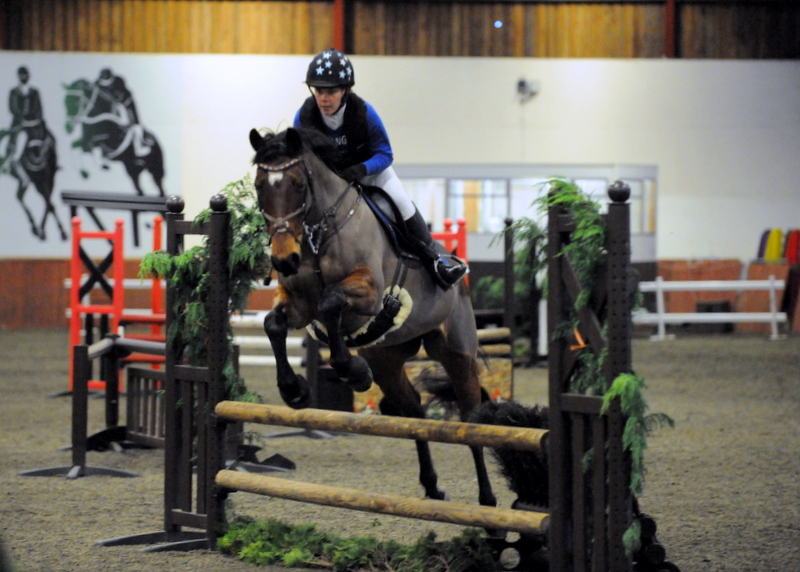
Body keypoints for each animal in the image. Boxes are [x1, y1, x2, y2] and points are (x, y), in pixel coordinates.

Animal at [249, 127, 496, 509]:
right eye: (260, 185)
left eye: (298, 184)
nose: (284, 260)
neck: (319, 234)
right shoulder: (298, 306)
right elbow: (273, 324)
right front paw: (295, 391)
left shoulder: (369, 295)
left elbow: (331, 303)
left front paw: (352, 371)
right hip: (388, 359)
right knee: (413, 410)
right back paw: (432, 486)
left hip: (457, 353)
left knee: (470, 420)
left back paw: (488, 500)